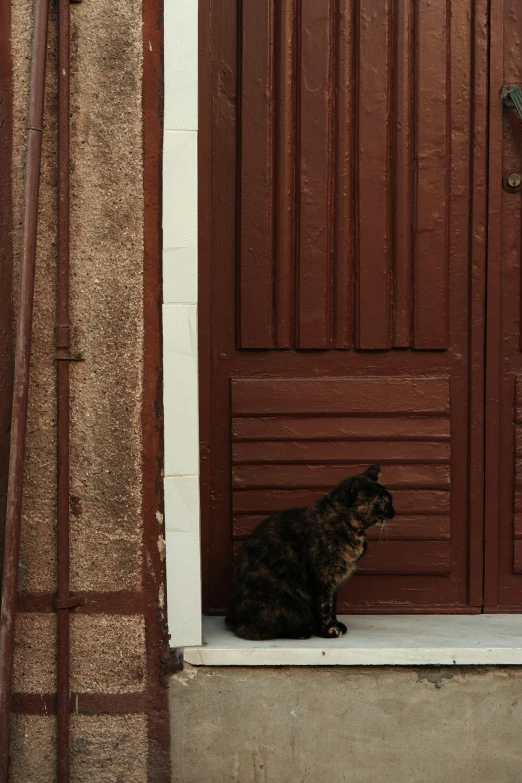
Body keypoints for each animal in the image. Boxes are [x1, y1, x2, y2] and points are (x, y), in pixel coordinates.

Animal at [225, 466, 392, 636]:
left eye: (390, 500)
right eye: (383, 502)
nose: (394, 512)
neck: (344, 521)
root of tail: (233, 620)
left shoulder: (335, 580)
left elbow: (333, 604)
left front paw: (335, 624)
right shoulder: (323, 578)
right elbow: (324, 605)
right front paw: (328, 630)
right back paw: (305, 630)